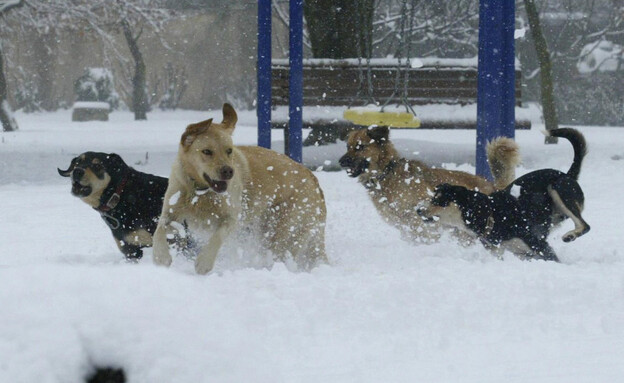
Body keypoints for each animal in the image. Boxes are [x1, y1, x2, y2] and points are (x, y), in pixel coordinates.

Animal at [152, 103, 326, 274]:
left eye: (229, 150)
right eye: (207, 151)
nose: (229, 171)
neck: (200, 192)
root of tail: (314, 180)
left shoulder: (231, 218)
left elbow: (217, 237)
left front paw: (204, 262)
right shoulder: (170, 212)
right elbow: (158, 231)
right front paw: (161, 257)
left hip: (283, 230)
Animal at [338, 126, 520, 243]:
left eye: (360, 147)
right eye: (348, 146)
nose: (340, 162)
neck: (387, 173)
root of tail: (493, 187)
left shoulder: (423, 221)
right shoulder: (406, 227)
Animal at [420, 127, 588, 262]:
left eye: (439, 201)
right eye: (433, 198)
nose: (418, 210)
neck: (490, 213)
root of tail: (568, 175)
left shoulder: (539, 246)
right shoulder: (515, 254)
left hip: (558, 190)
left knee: (585, 225)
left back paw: (571, 235)